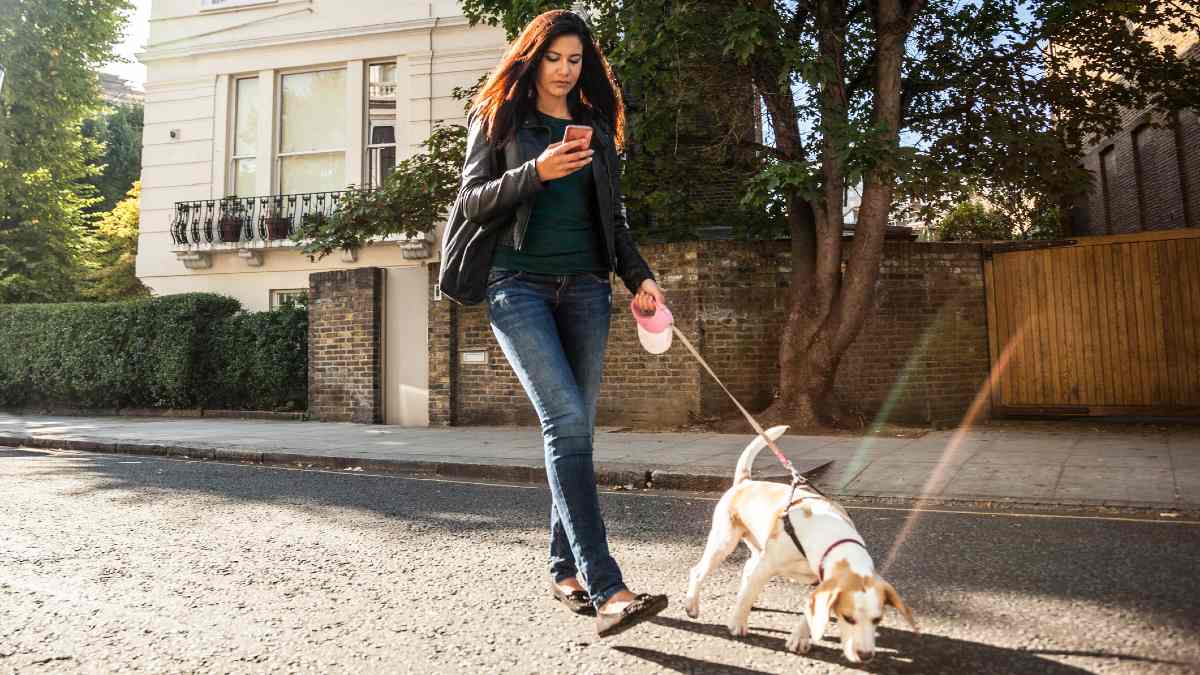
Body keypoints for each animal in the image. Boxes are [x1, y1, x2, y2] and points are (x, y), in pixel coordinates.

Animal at [686, 422, 916, 658]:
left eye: (877, 619)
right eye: (848, 618)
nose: (866, 655)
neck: (831, 536)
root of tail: (746, 482)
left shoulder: (822, 581)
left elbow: (810, 611)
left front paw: (800, 638)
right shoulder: (767, 566)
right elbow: (749, 595)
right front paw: (737, 623)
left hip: (756, 548)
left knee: (747, 570)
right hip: (724, 543)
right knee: (700, 571)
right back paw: (693, 605)